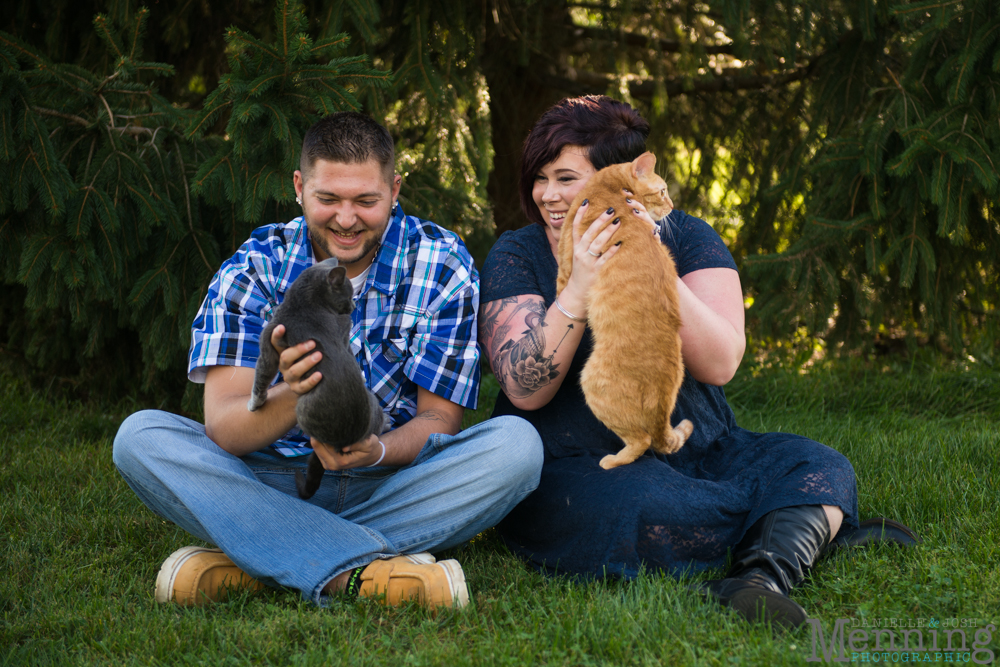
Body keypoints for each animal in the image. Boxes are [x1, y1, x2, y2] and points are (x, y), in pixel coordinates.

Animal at [249, 258, 386, 498]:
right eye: (348, 295)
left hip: (304, 411)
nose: (352, 308)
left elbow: (262, 374)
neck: (304, 303)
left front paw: (254, 404)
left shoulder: (271, 338)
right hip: (372, 404)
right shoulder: (344, 327)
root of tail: (345, 441)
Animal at [556, 154, 696, 472]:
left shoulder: (565, 262)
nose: (671, 207)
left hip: (592, 384)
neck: (609, 187)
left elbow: (558, 292)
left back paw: (612, 461)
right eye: (663, 191)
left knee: (642, 441)